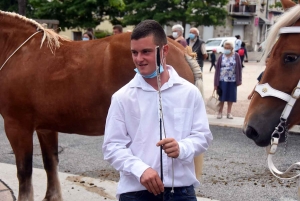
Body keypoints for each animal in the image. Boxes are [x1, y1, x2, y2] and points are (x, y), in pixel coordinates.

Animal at [0, 10, 204, 199]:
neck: (21, 53)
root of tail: (182, 51)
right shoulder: (46, 128)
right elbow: (50, 163)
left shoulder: (17, 126)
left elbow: (24, 173)